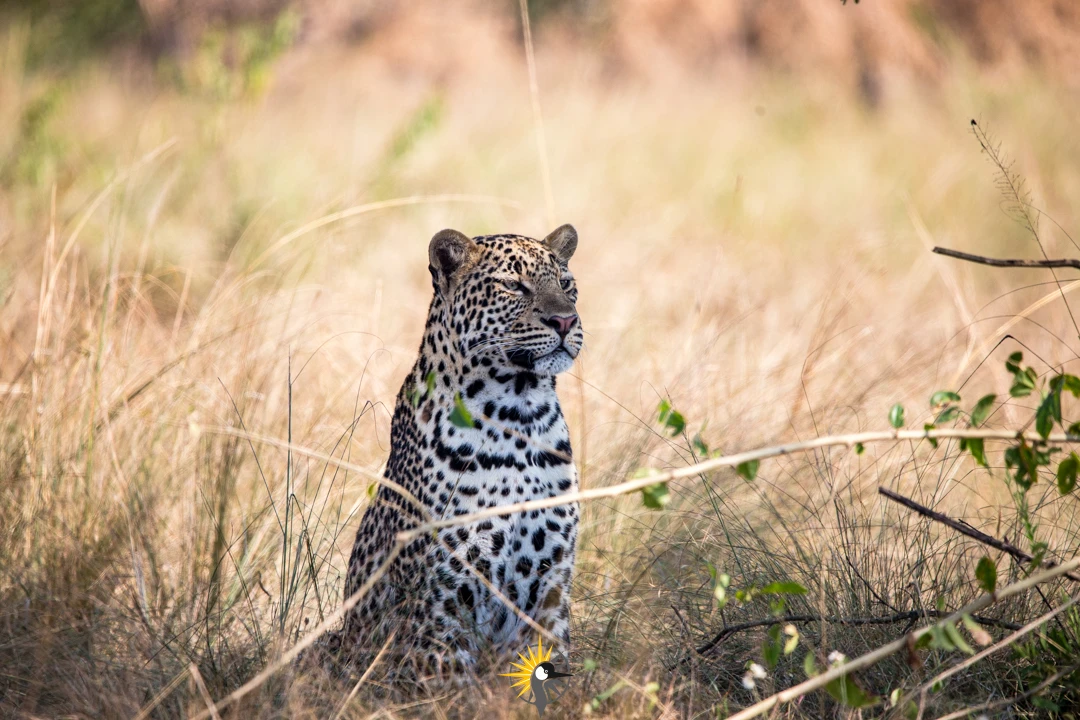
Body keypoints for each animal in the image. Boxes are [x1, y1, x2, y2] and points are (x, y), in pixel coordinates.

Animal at [336, 223, 587, 677]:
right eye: (513, 285)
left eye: (566, 284)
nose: (565, 320)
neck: (519, 414)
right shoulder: (443, 604)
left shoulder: (551, 587)